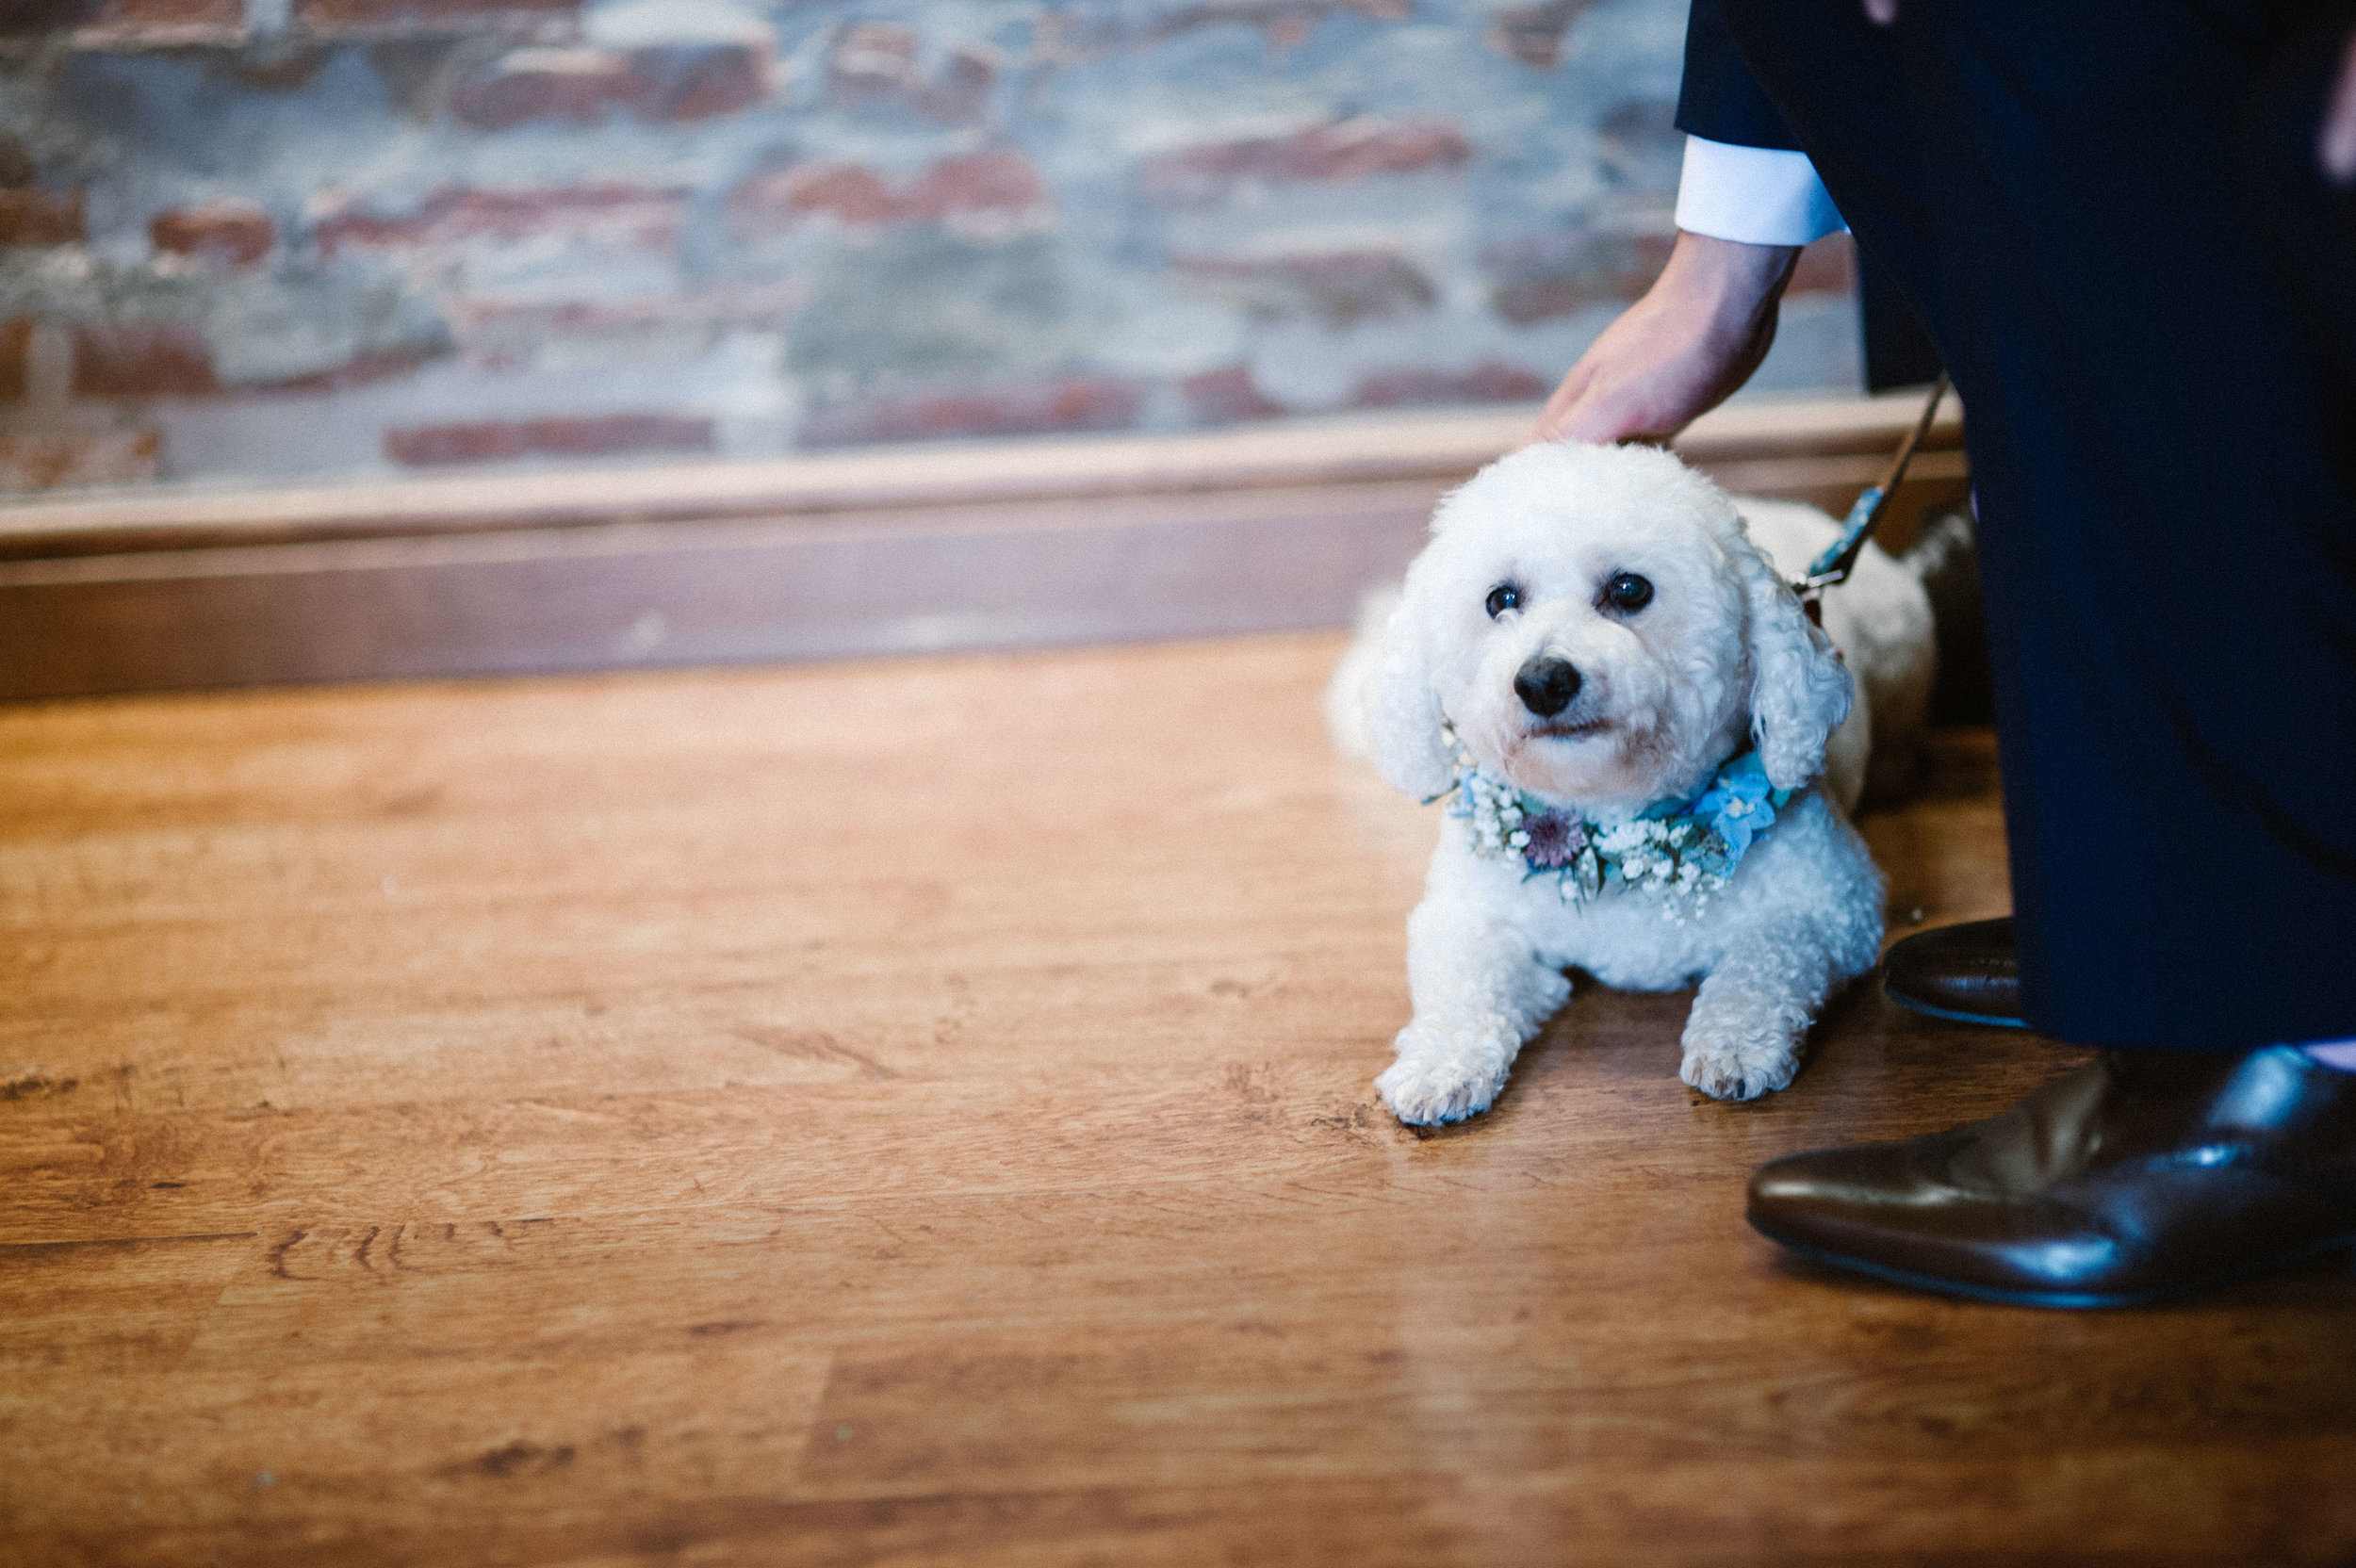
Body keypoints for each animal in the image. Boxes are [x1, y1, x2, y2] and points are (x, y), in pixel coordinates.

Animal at [1338, 440, 1941, 1125]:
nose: (1543, 680)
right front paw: (1440, 1064)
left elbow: (1767, 955)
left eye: (1630, 589)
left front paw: (1736, 1042)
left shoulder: (1837, 906)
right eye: (1500, 600)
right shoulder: (1467, 915)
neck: (1615, 822)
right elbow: (1462, 985)